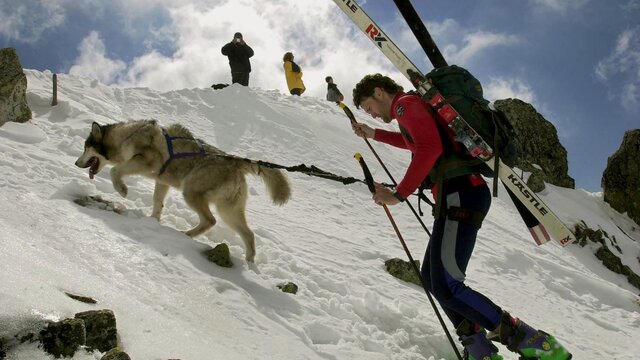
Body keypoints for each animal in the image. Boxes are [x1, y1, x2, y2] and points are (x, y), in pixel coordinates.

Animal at [75, 120, 292, 262]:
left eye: (86, 148)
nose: (76, 163)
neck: (127, 136)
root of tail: (235, 161)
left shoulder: (146, 162)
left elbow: (115, 170)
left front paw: (122, 189)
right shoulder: (161, 182)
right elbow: (157, 203)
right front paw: (152, 221)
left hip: (191, 193)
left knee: (211, 221)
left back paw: (187, 235)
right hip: (228, 211)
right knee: (248, 234)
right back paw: (248, 263)